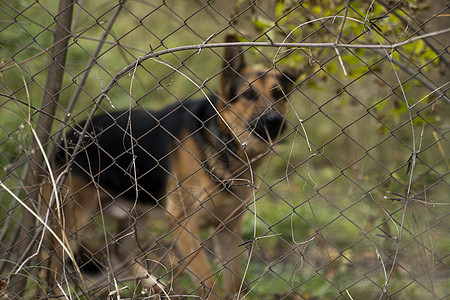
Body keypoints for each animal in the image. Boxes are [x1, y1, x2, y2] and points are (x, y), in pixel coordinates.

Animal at [41, 34, 296, 298]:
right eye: (249, 95)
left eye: (279, 94)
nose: (274, 121)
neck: (225, 141)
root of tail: (64, 140)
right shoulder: (184, 224)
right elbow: (209, 283)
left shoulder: (229, 231)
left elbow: (234, 284)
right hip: (72, 226)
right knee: (49, 267)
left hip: (134, 213)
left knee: (118, 253)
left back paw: (155, 286)